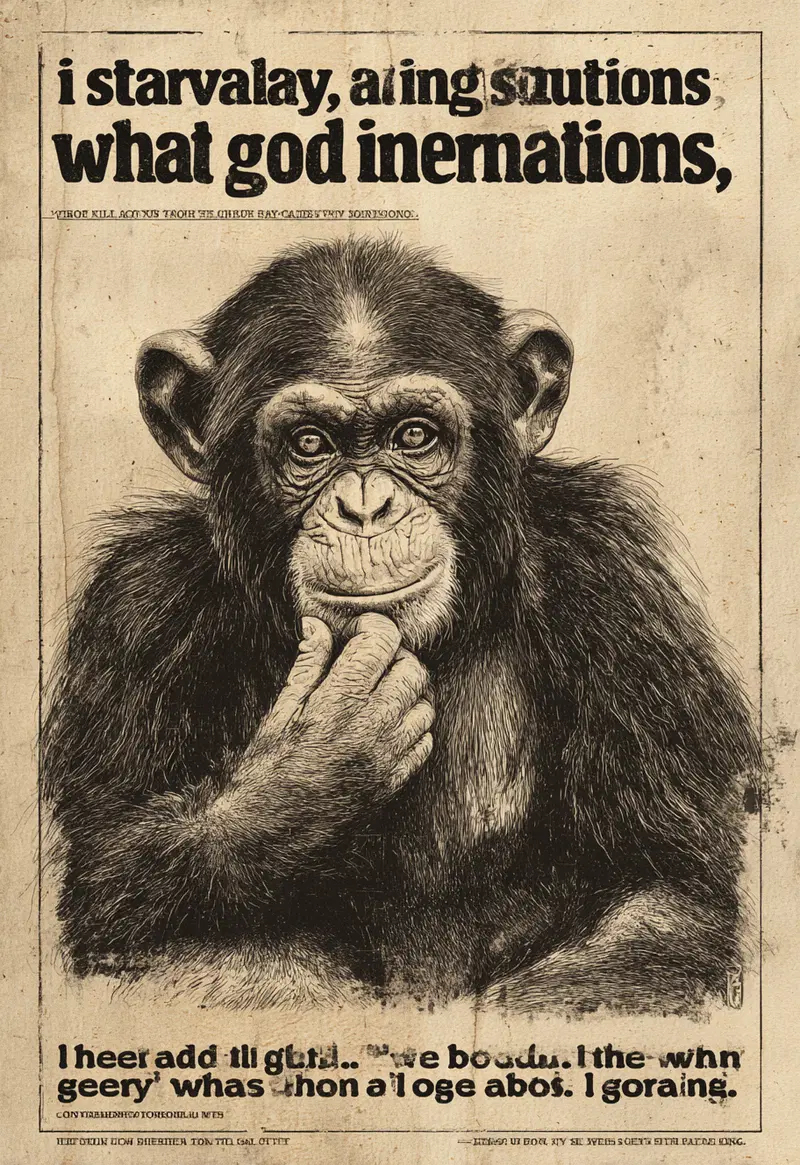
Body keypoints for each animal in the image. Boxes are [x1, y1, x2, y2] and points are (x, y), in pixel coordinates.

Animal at [43, 236, 760, 1012]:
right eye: (310, 444)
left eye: (414, 436)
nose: (364, 507)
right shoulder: (136, 612)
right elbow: (109, 876)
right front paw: (314, 762)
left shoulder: (619, 589)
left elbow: (669, 894)